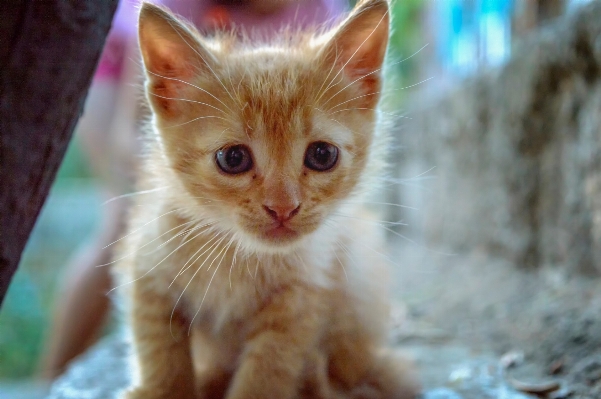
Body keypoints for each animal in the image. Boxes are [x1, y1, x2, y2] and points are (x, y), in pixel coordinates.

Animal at [115, 0, 420, 399]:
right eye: (233, 158)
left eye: (322, 155)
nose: (283, 208)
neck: (240, 256)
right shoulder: (149, 268)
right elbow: (157, 347)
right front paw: (161, 389)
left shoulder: (303, 294)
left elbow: (269, 367)